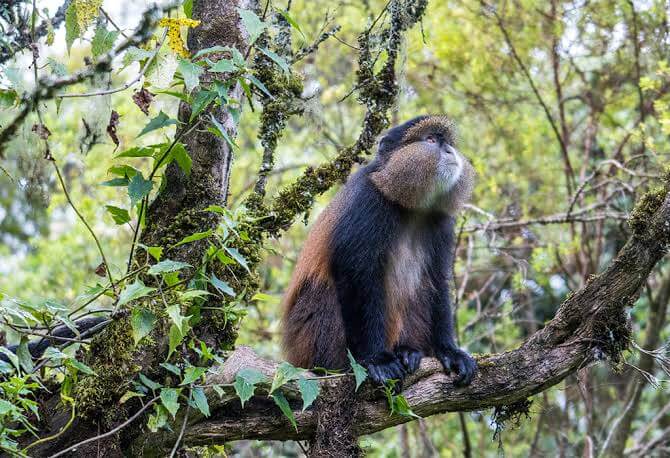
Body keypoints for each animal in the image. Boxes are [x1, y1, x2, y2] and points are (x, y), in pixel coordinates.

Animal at [281, 115, 477, 387]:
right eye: (430, 140)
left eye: (447, 142)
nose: (449, 151)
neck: (410, 207)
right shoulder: (368, 202)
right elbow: (356, 274)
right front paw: (377, 360)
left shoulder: (441, 221)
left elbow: (437, 279)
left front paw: (449, 350)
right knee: (325, 292)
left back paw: (407, 351)